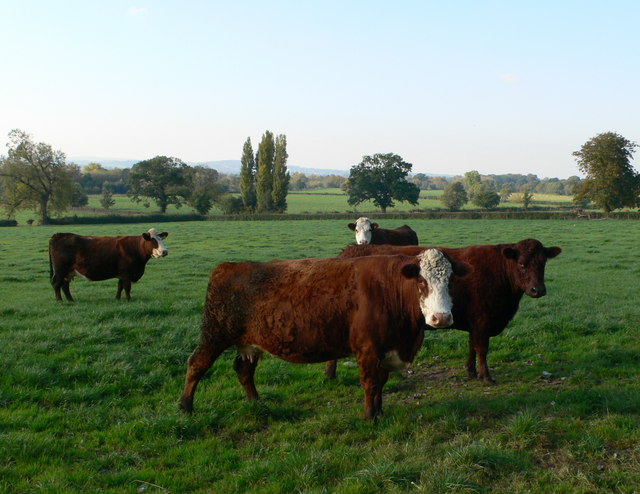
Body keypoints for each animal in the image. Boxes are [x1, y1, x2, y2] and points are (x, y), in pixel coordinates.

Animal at [178, 251, 468, 420]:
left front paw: (380, 411)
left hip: (250, 342)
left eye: (451, 280)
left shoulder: (385, 350)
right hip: (214, 334)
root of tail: (227, 266)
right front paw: (370, 417)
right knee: (196, 365)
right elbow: (370, 384)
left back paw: (257, 404)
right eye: (421, 281)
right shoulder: (367, 349)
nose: (441, 318)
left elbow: (381, 383)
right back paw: (185, 407)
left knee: (243, 371)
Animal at [328, 239, 564, 386]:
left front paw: (470, 371)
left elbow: (472, 346)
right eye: (522, 264)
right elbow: (482, 348)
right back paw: (331, 374)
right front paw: (486, 376)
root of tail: (348, 251)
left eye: (543, 262)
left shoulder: (475, 322)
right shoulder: (482, 320)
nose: (538, 290)